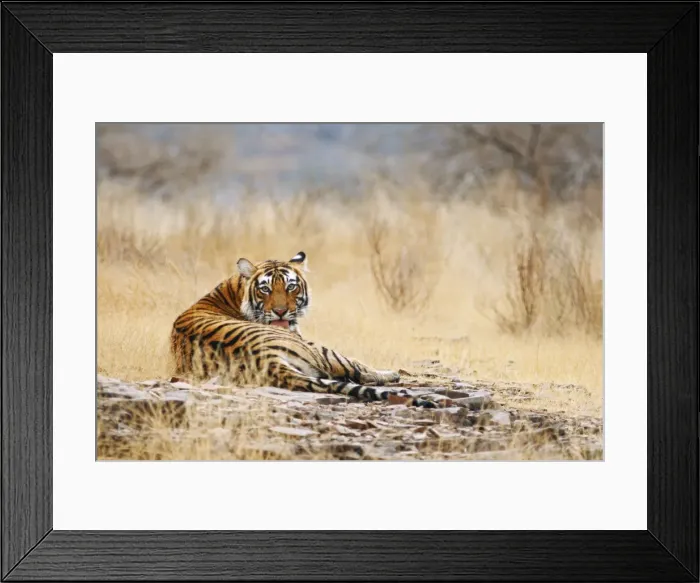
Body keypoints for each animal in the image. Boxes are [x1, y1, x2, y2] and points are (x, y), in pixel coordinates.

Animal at [170, 251, 435, 408]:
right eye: (265, 289)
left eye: (291, 287)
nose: (280, 311)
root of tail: (265, 360)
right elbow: (358, 366)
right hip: (319, 350)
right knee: (355, 368)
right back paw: (391, 374)